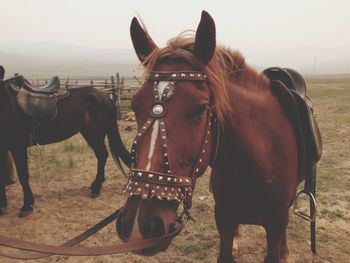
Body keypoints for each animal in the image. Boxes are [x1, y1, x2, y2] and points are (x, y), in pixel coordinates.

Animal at [0, 66, 131, 219]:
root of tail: (103, 96)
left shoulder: (17, 147)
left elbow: (23, 176)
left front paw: (27, 206)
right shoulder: (3, 148)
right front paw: (3, 206)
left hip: (94, 134)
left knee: (102, 155)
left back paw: (96, 188)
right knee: (102, 155)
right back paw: (96, 185)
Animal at [116, 11, 322, 262]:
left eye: (200, 108)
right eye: (135, 106)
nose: (138, 226)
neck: (257, 164)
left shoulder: (276, 224)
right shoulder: (224, 220)